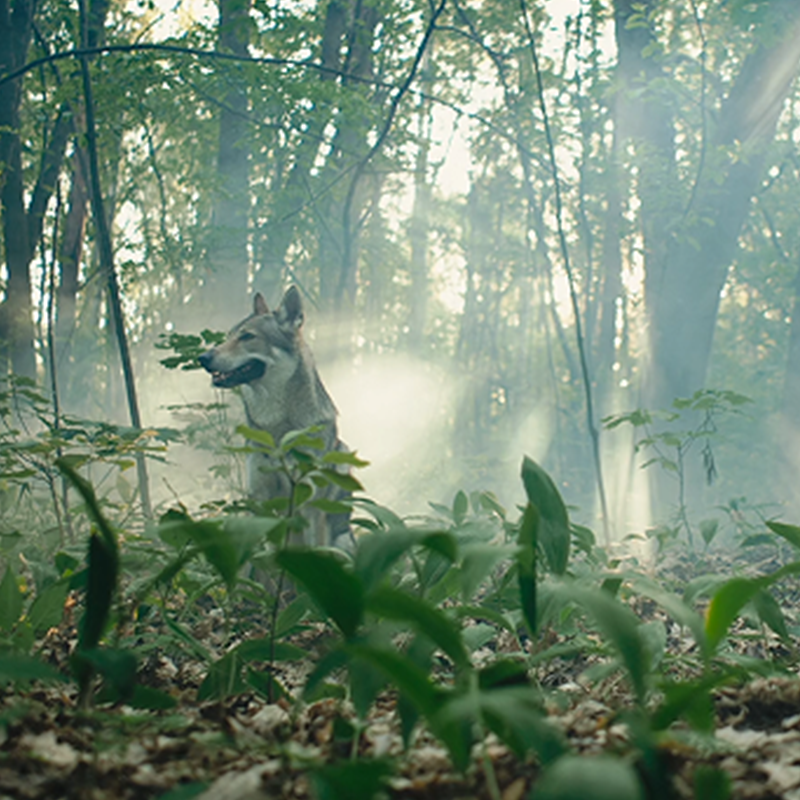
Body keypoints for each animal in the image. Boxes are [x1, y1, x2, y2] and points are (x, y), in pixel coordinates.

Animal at [198, 286, 351, 548]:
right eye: (228, 336)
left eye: (247, 337)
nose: (203, 358)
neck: (276, 427)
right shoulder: (261, 502)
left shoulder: (312, 507)